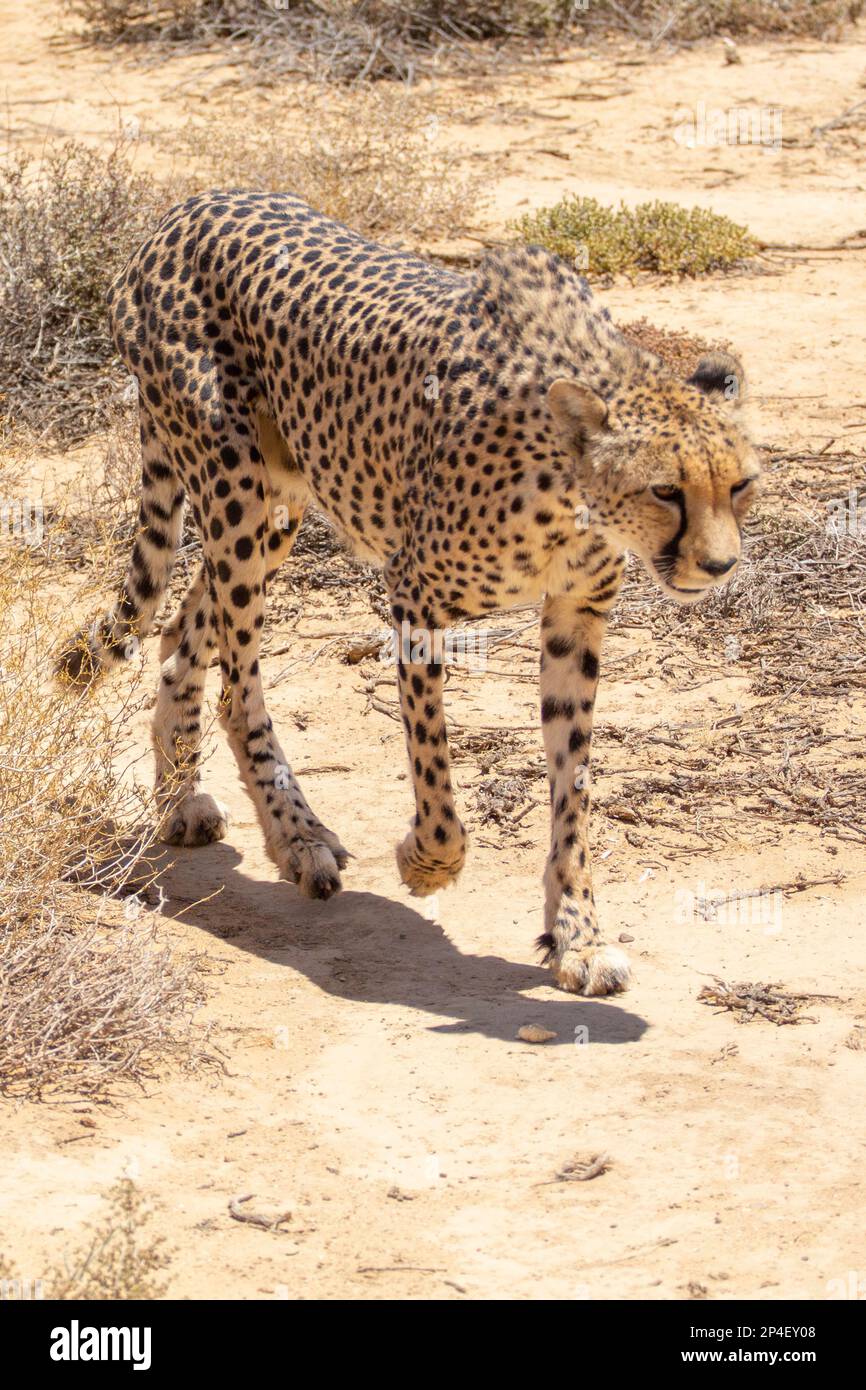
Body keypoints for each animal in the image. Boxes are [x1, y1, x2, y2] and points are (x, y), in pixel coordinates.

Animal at [57, 193, 756, 1000]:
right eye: (666, 490)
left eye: (741, 484)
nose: (719, 565)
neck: (568, 483)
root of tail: (189, 208)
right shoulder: (415, 595)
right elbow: (436, 774)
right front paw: (425, 864)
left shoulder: (574, 618)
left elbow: (572, 786)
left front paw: (576, 936)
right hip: (235, 486)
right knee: (239, 687)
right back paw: (298, 839)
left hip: (282, 501)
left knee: (181, 634)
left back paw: (184, 803)